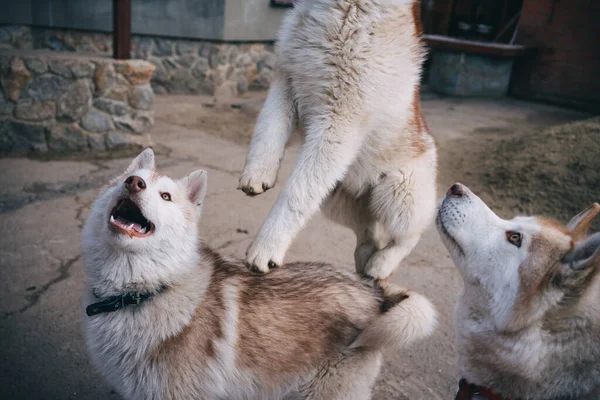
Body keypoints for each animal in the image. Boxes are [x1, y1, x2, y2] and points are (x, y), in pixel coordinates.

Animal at [239, 0, 436, 278]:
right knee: (368, 229)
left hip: (399, 192)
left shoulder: (339, 122)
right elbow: (267, 129)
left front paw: (266, 246)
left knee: (409, 235)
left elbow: (295, 191)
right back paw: (365, 255)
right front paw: (258, 173)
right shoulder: (286, 82)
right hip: (335, 200)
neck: (344, 11)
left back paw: (381, 263)